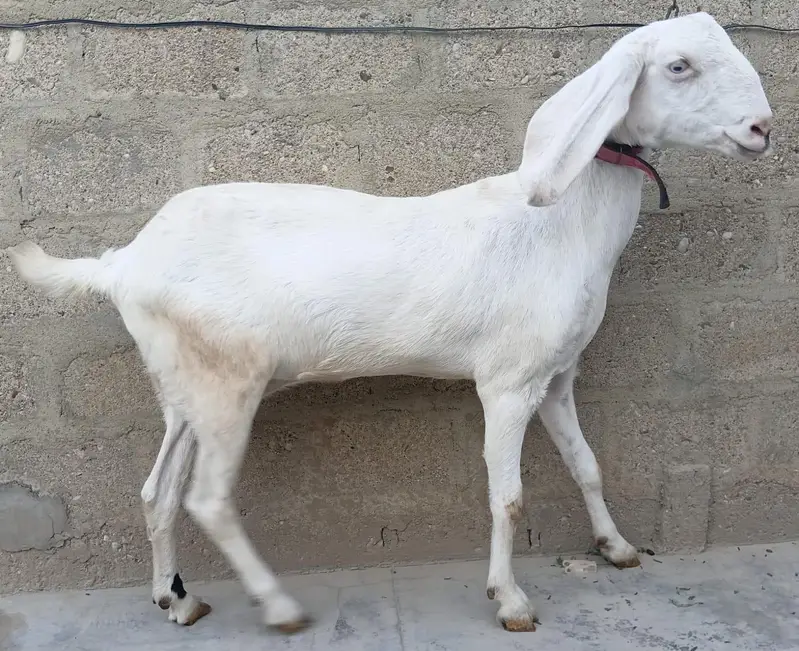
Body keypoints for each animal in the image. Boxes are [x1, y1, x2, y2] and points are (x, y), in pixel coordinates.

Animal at [8, 12, 772, 633]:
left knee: (158, 490)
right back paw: (278, 607)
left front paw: (616, 548)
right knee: (208, 498)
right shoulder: (508, 382)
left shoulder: (556, 376)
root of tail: (122, 262)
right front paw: (510, 600)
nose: (761, 129)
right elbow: (508, 497)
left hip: (185, 383)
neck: (557, 226)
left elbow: (586, 464)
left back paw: (177, 599)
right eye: (678, 65)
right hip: (229, 383)